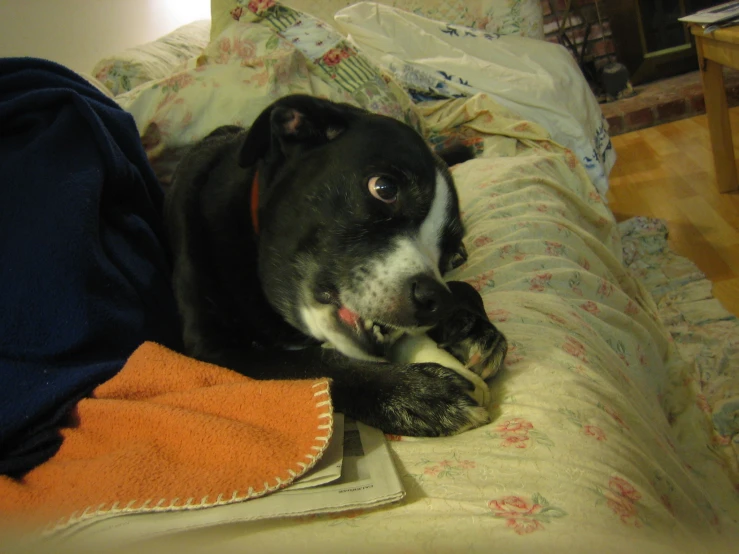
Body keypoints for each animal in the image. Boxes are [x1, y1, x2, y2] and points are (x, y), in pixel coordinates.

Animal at [165, 95, 506, 436]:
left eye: (445, 253)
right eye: (384, 188)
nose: (434, 300)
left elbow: (465, 287)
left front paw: (476, 330)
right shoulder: (216, 352)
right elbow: (312, 365)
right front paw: (418, 392)